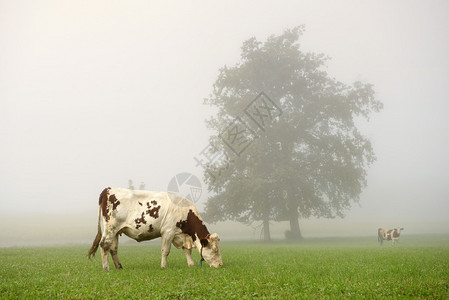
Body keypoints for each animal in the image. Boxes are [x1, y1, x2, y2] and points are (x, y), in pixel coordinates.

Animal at [87, 188, 222, 270]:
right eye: (215, 249)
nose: (220, 265)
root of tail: (108, 189)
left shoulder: (181, 235)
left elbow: (187, 251)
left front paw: (191, 264)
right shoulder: (168, 232)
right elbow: (165, 251)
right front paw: (164, 266)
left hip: (116, 231)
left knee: (113, 249)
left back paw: (119, 267)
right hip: (110, 228)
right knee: (104, 245)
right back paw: (106, 268)